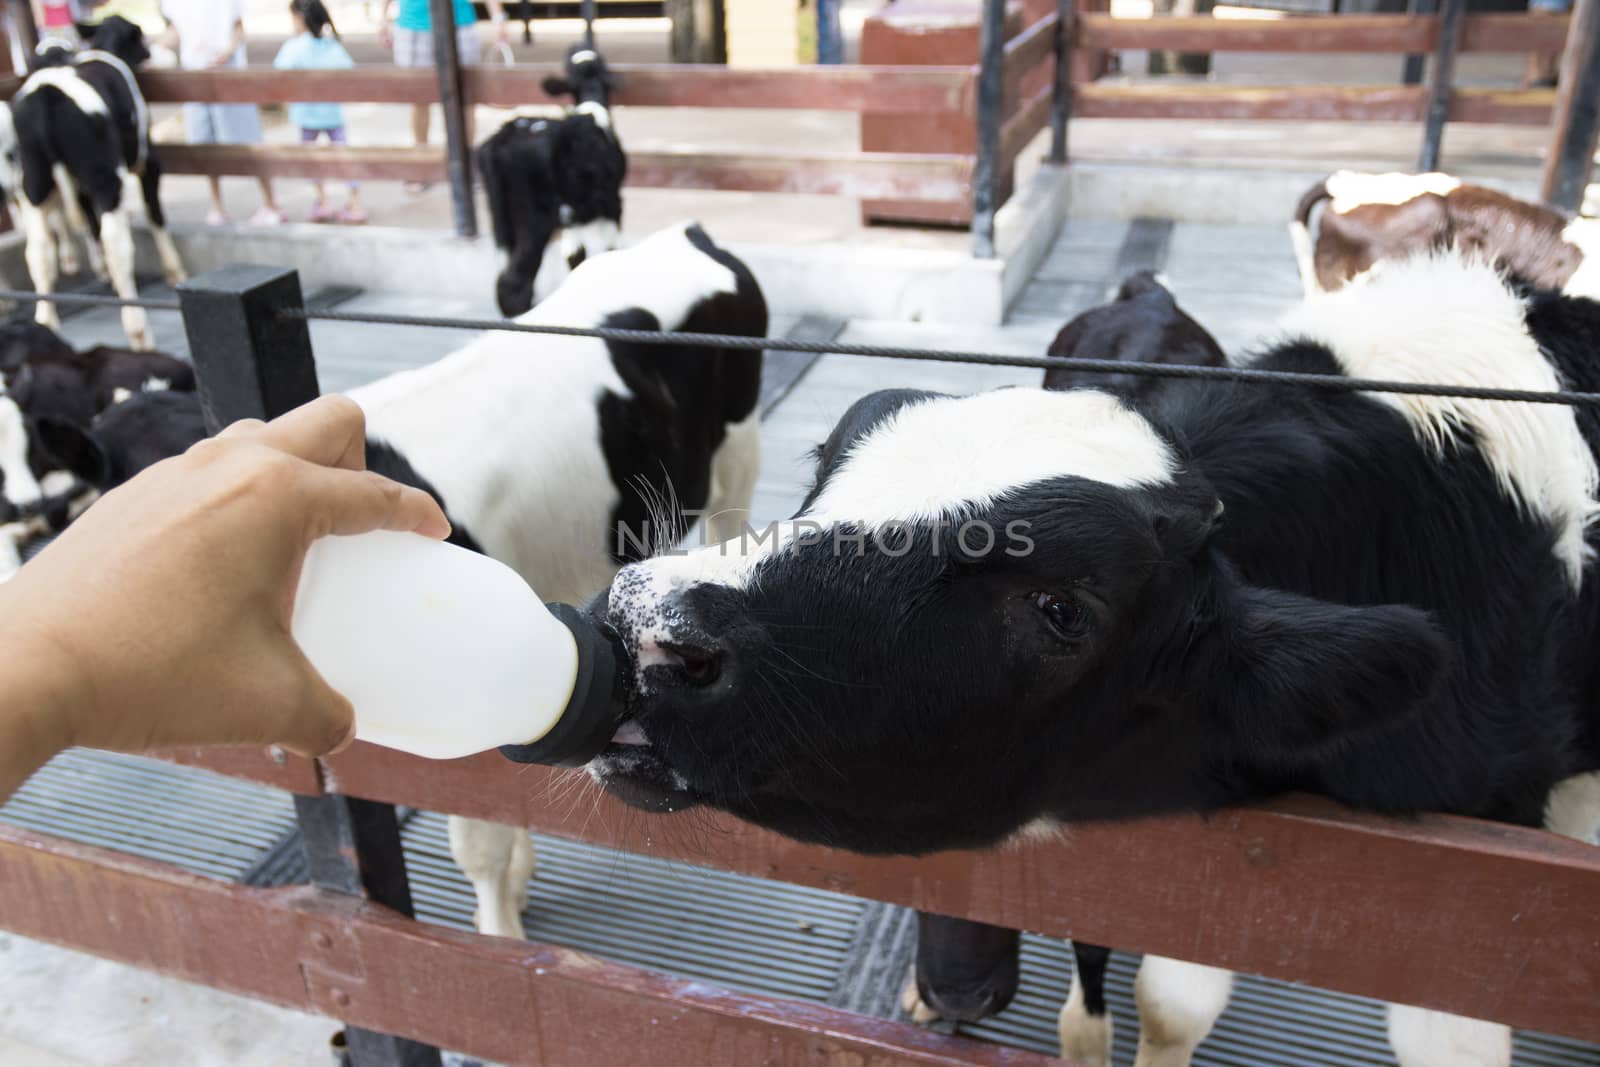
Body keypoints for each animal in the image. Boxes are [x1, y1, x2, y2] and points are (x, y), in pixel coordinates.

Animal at [1, 16, 184, 350]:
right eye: (139, 37)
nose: (151, 53)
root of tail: (47, 94)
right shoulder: (147, 161)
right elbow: (154, 215)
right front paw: (174, 271)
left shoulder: (78, 184)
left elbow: (89, 221)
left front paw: (101, 273)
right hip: (106, 179)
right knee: (117, 245)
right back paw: (139, 331)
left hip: (34, 182)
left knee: (38, 251)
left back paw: (47, 322)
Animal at [473, 43, 624, 319]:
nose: (578, 44)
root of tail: (502, 137)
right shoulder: (613, 201)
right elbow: (611, 249)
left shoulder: (571, 212)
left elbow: (575, 254)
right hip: (535, 219)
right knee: (514, 282)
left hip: (503, 218)